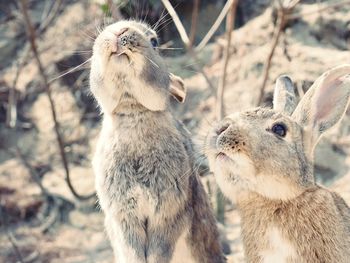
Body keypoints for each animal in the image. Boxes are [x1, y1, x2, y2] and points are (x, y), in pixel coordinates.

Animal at [89, 20, 224, 263]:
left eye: (154, 41)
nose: (119, 30)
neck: (133, 111)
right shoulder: (124, 217)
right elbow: (132, 250)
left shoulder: (170, 213)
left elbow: (158, 250)